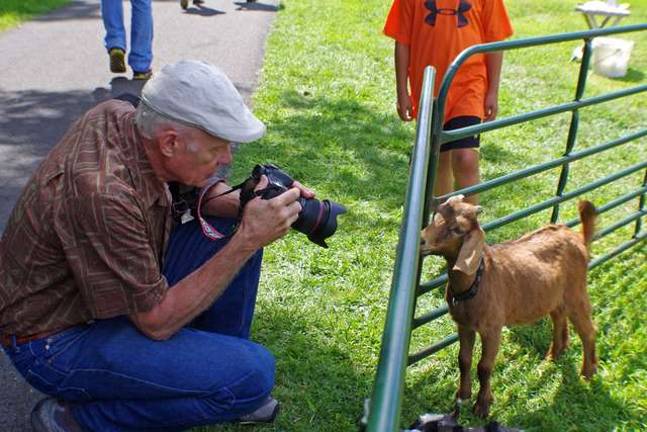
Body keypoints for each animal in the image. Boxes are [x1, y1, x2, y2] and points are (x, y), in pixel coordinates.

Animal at [420, 197, 596, 418]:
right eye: (436, 216)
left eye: (457, 229)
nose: (421, 240)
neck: (478, 281)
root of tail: (578, 238)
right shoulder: (464, 325)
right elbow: (464, 359)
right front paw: (463, 395)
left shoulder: (492, 328)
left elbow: (484, 367)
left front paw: (482, 406)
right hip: (554, 295)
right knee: (558, 317)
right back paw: (553, 355)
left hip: (576, 292)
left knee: (588, 331)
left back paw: (587, 374)